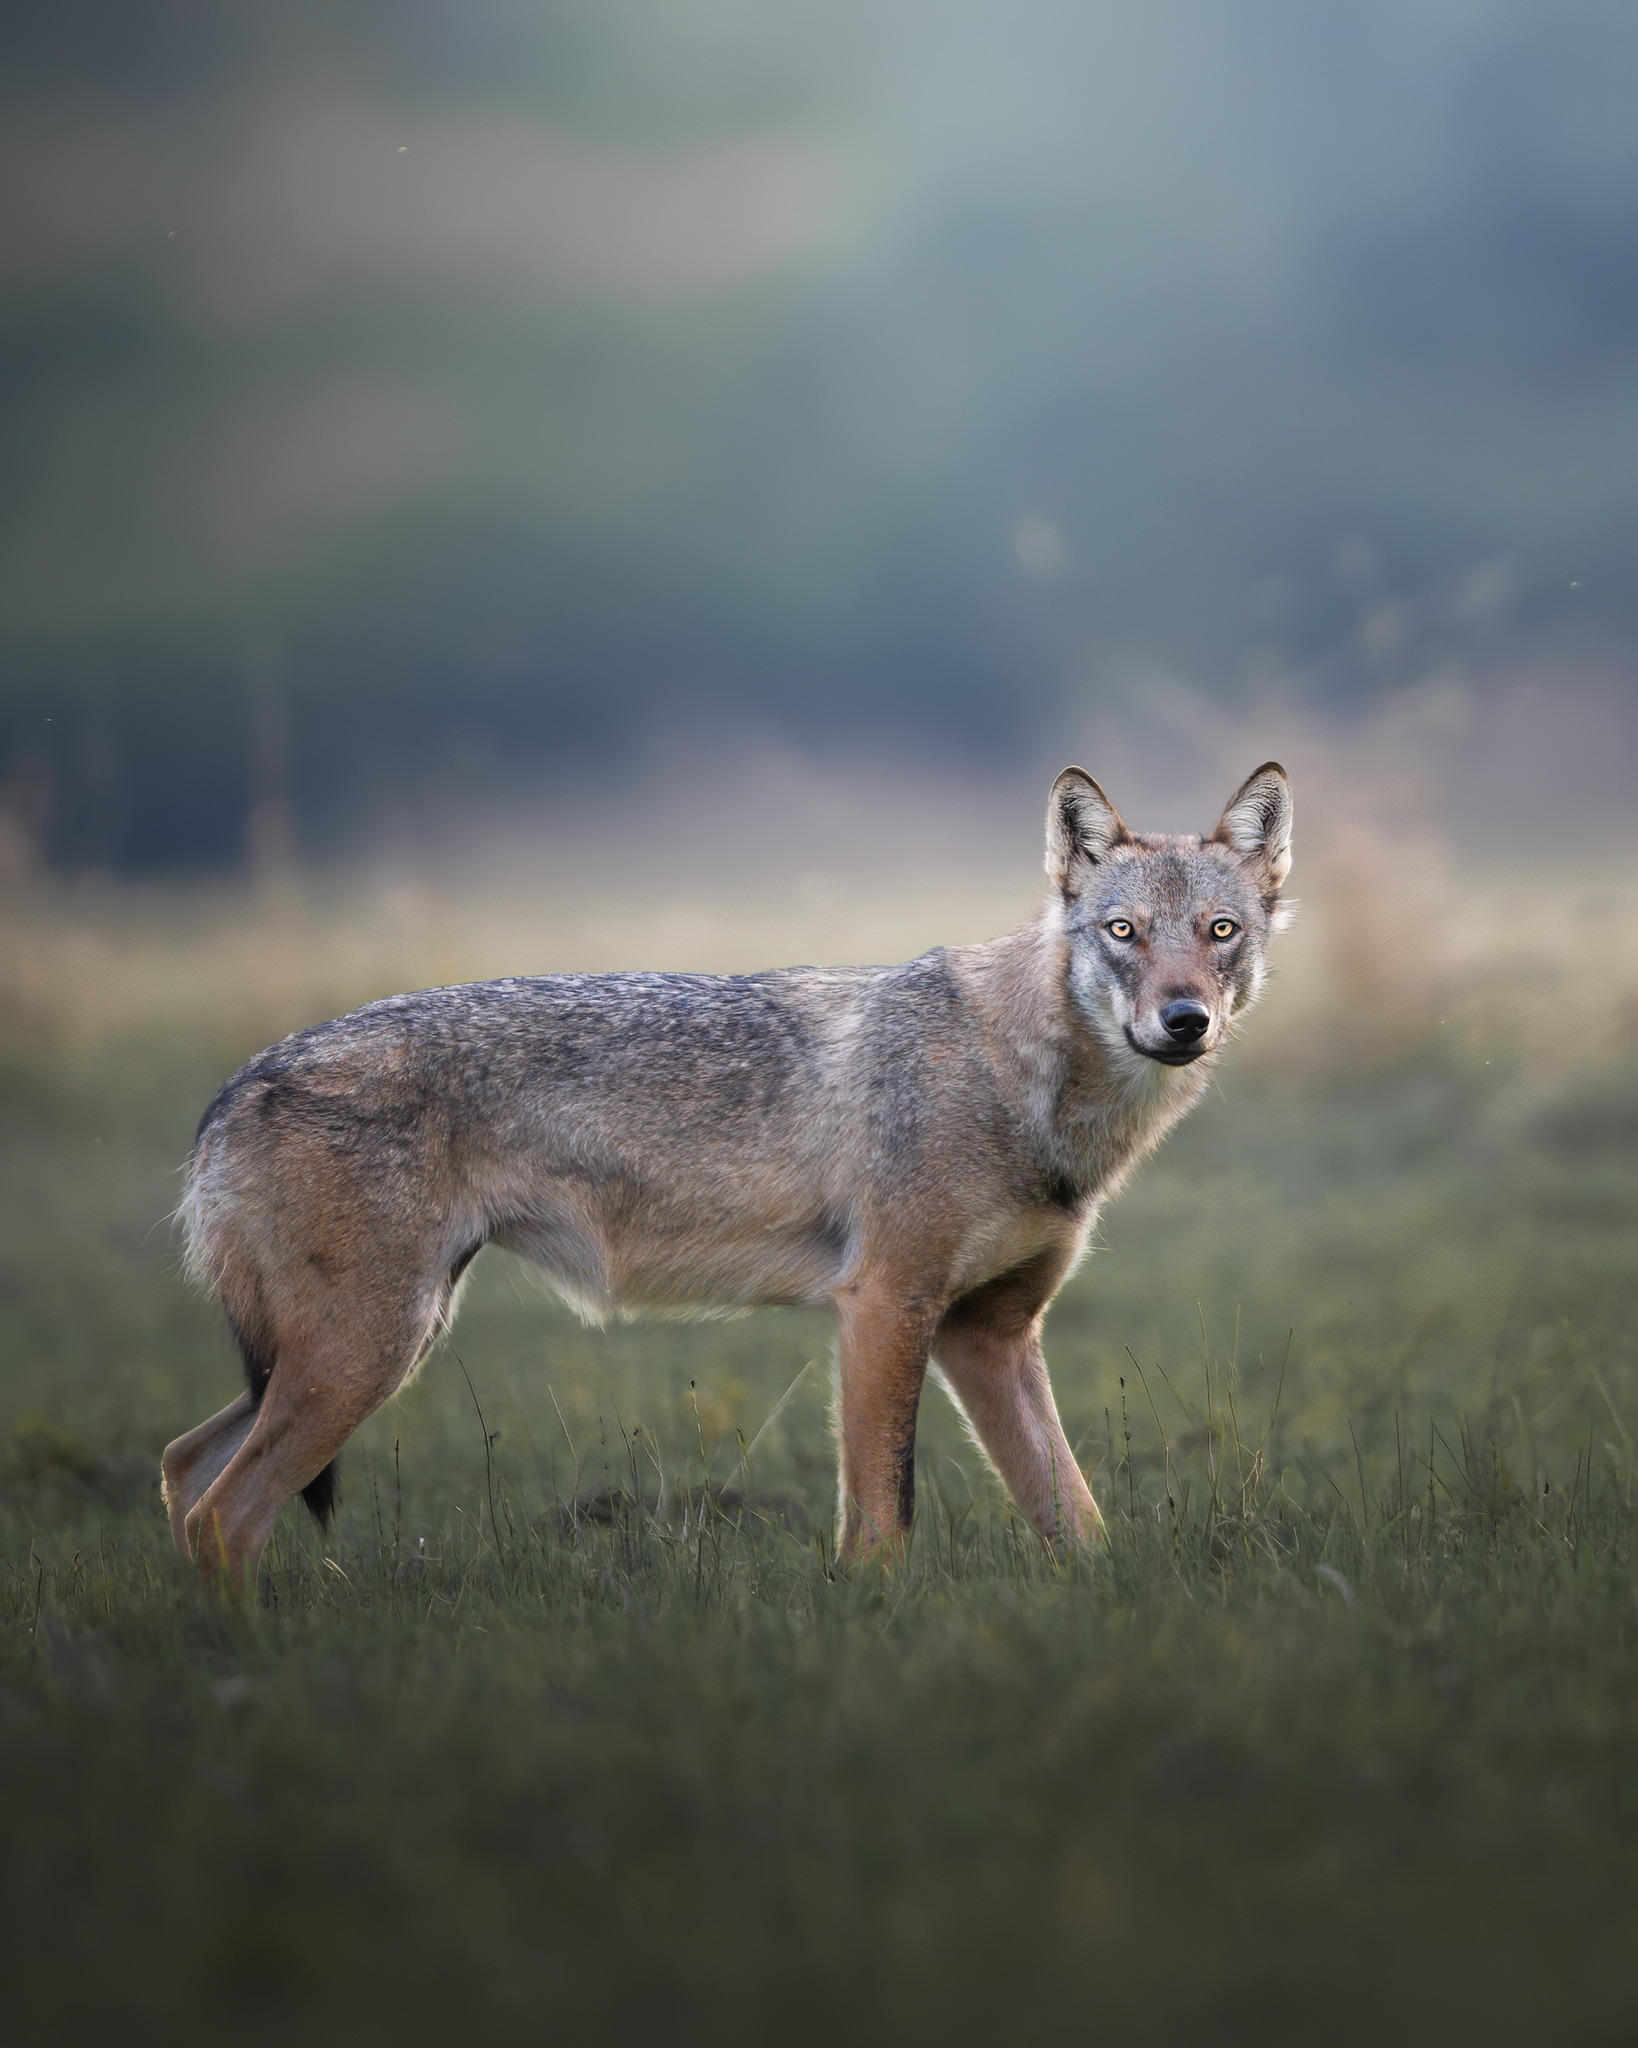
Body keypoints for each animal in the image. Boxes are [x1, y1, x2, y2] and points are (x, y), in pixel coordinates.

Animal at [162, 762, 1292, 1589]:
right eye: (1123, 933)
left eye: (1220, 933)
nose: (1183, 1022)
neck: (1028, 1082)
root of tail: (232, 1088)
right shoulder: (885, 1307)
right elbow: (884, 1518)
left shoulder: (989, 1335)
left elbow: (1078, 1519)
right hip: (368, 1353)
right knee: (223, 1513)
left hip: (370, 1350)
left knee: (182, 1472)